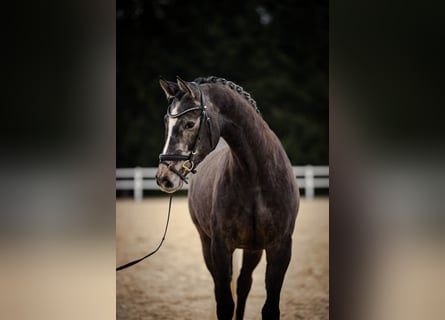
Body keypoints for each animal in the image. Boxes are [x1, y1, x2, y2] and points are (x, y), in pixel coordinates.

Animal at [155, 76, 298, 318]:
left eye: (189, 124)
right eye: (166, 123)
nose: (164, 178)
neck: (256, 179)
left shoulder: (280, 248)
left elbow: (269, 307)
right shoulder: (220, 247)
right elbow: (224, 304)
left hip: (253, 249)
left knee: (243, 285)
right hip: (207, 243)